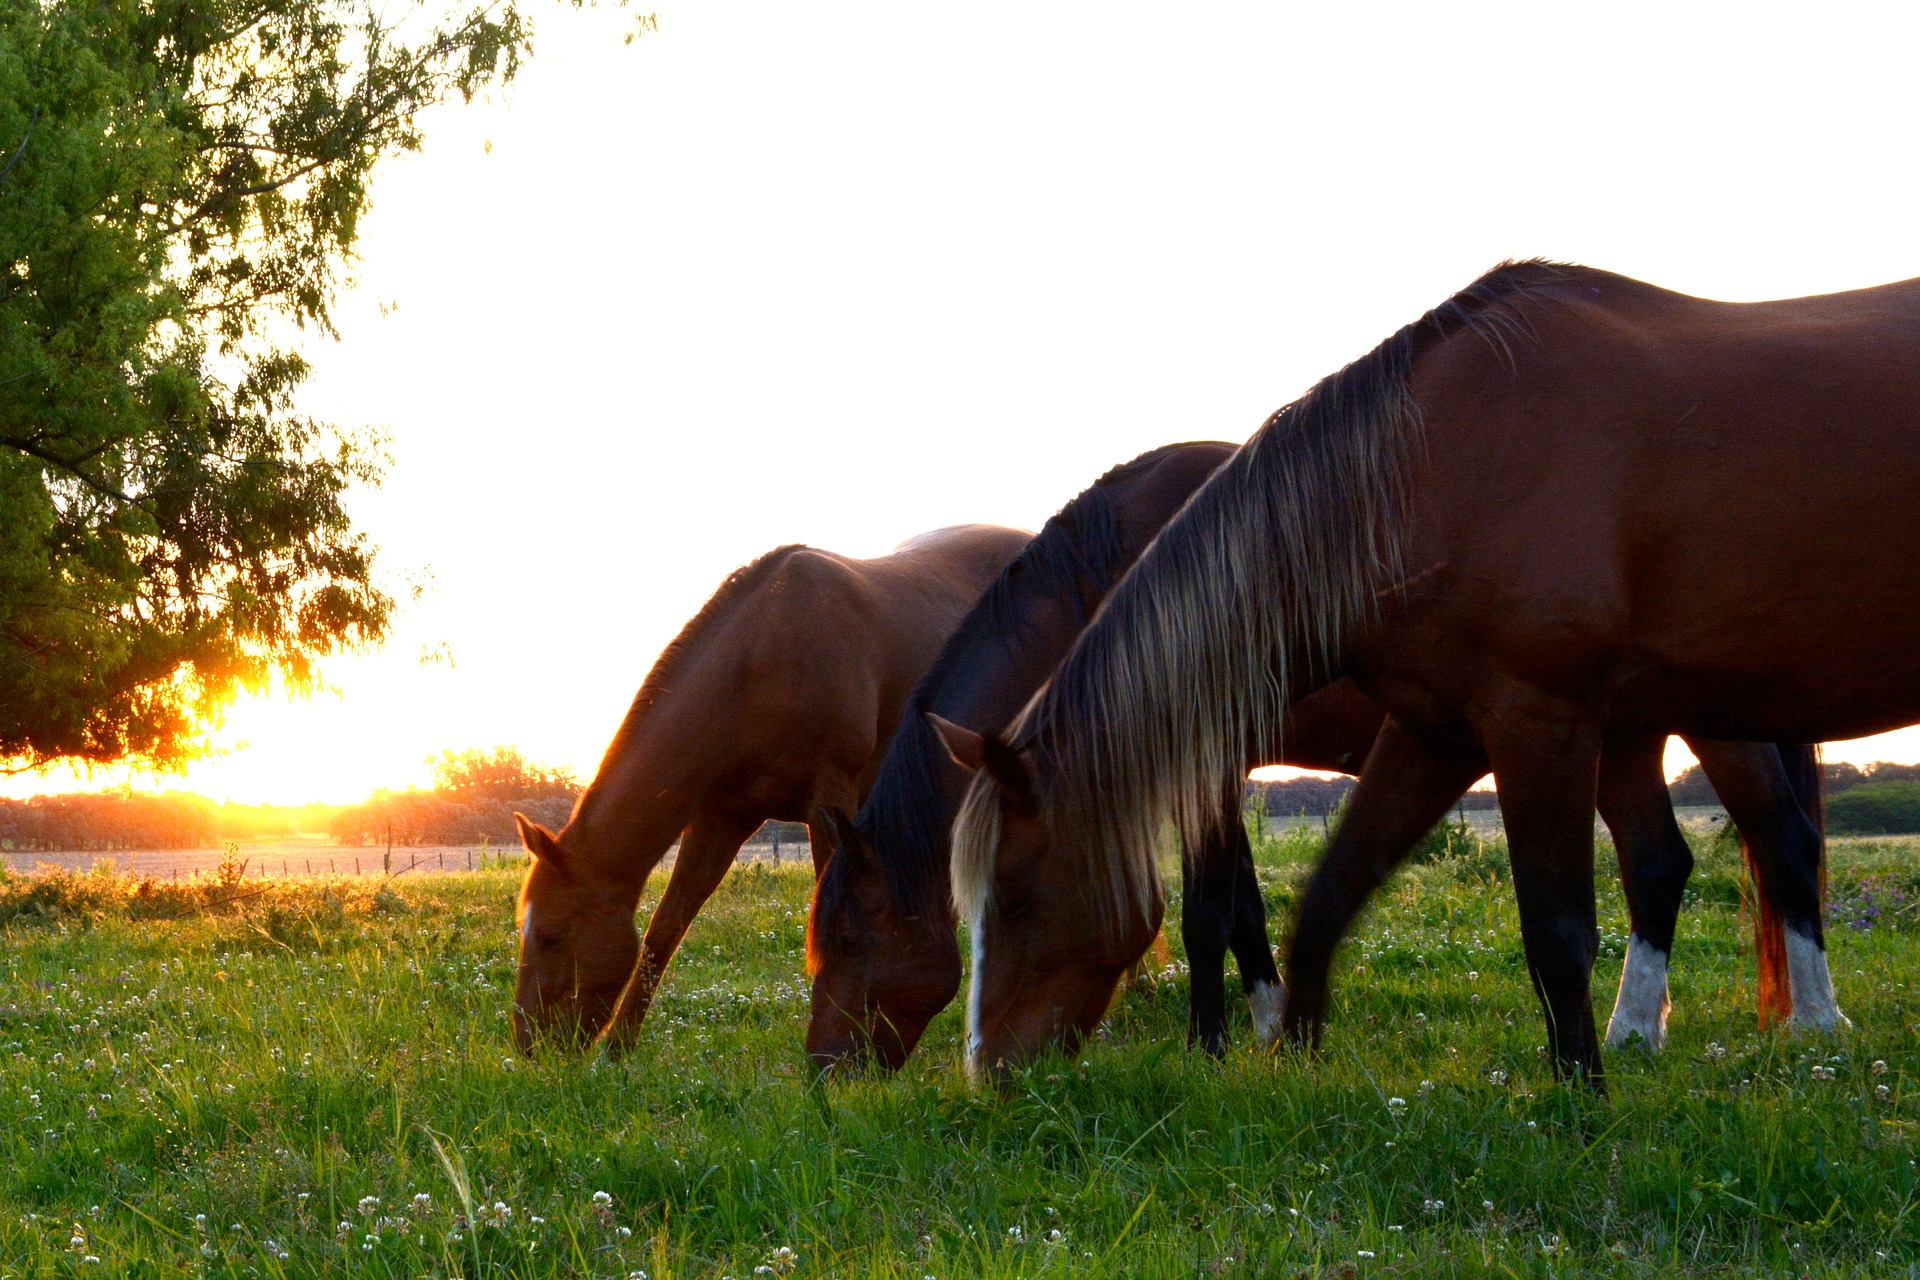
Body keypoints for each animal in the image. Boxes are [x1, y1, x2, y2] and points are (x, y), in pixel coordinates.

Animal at [503, 525, 1029, 1059]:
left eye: (550, 936)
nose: (528, 1045)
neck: (760, 664)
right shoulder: (720, 818)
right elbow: (664, 929)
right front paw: (617, 1052)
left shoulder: (830, 800)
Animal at [940, 264, 1904, 1090]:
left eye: (1016, 900)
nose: (987, 1075)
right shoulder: (1431, 728)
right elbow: (1313, 899)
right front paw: (1282, 1049)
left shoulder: (1510, 720)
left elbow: (1225, 914)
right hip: (1637, 728)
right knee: (1663, 861)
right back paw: (1642, 1031)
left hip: (1711, 723)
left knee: (1782, 842)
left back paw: (1815, 1028)